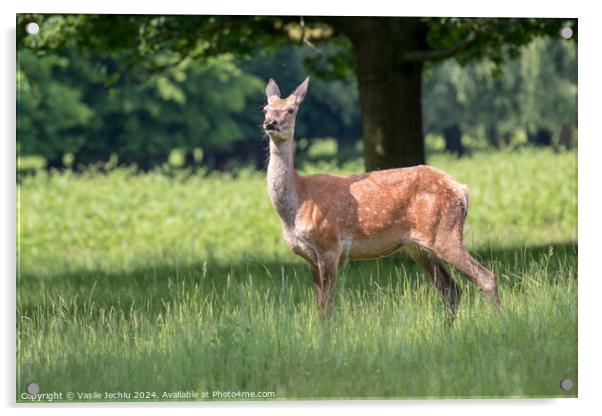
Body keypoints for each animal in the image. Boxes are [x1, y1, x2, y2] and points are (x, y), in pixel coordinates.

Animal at [260, 78, 500, 324]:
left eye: (291, 109)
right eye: (266, 109)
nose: (270, 123)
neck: (298, 201)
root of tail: (462, 190)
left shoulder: (329, 245)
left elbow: (327, 306)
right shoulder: (309, 257)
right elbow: (320, 307)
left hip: (445, 232)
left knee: (486, 278)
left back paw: (498, 322)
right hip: (418, 246)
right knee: (451, 288)